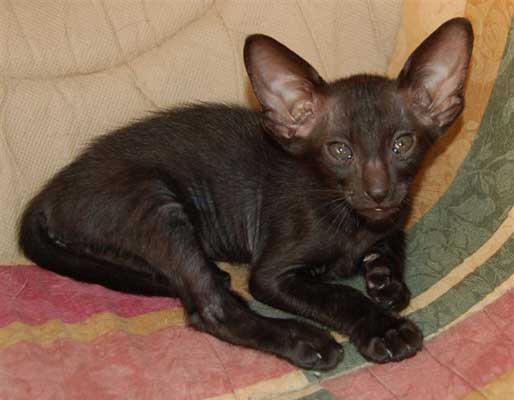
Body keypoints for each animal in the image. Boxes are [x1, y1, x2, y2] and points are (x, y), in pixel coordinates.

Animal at [19, 18, 472, 368]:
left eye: (402, 144)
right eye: (339, 151)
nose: (378, 192)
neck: (353, 222)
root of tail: (54, 186)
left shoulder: (393, 218)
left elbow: (393, 242)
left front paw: (384, 279)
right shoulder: (272, 273)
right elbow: (337, 294)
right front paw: (383, 326)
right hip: (154, 199)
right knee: (211, 309)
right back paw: (304, 341)